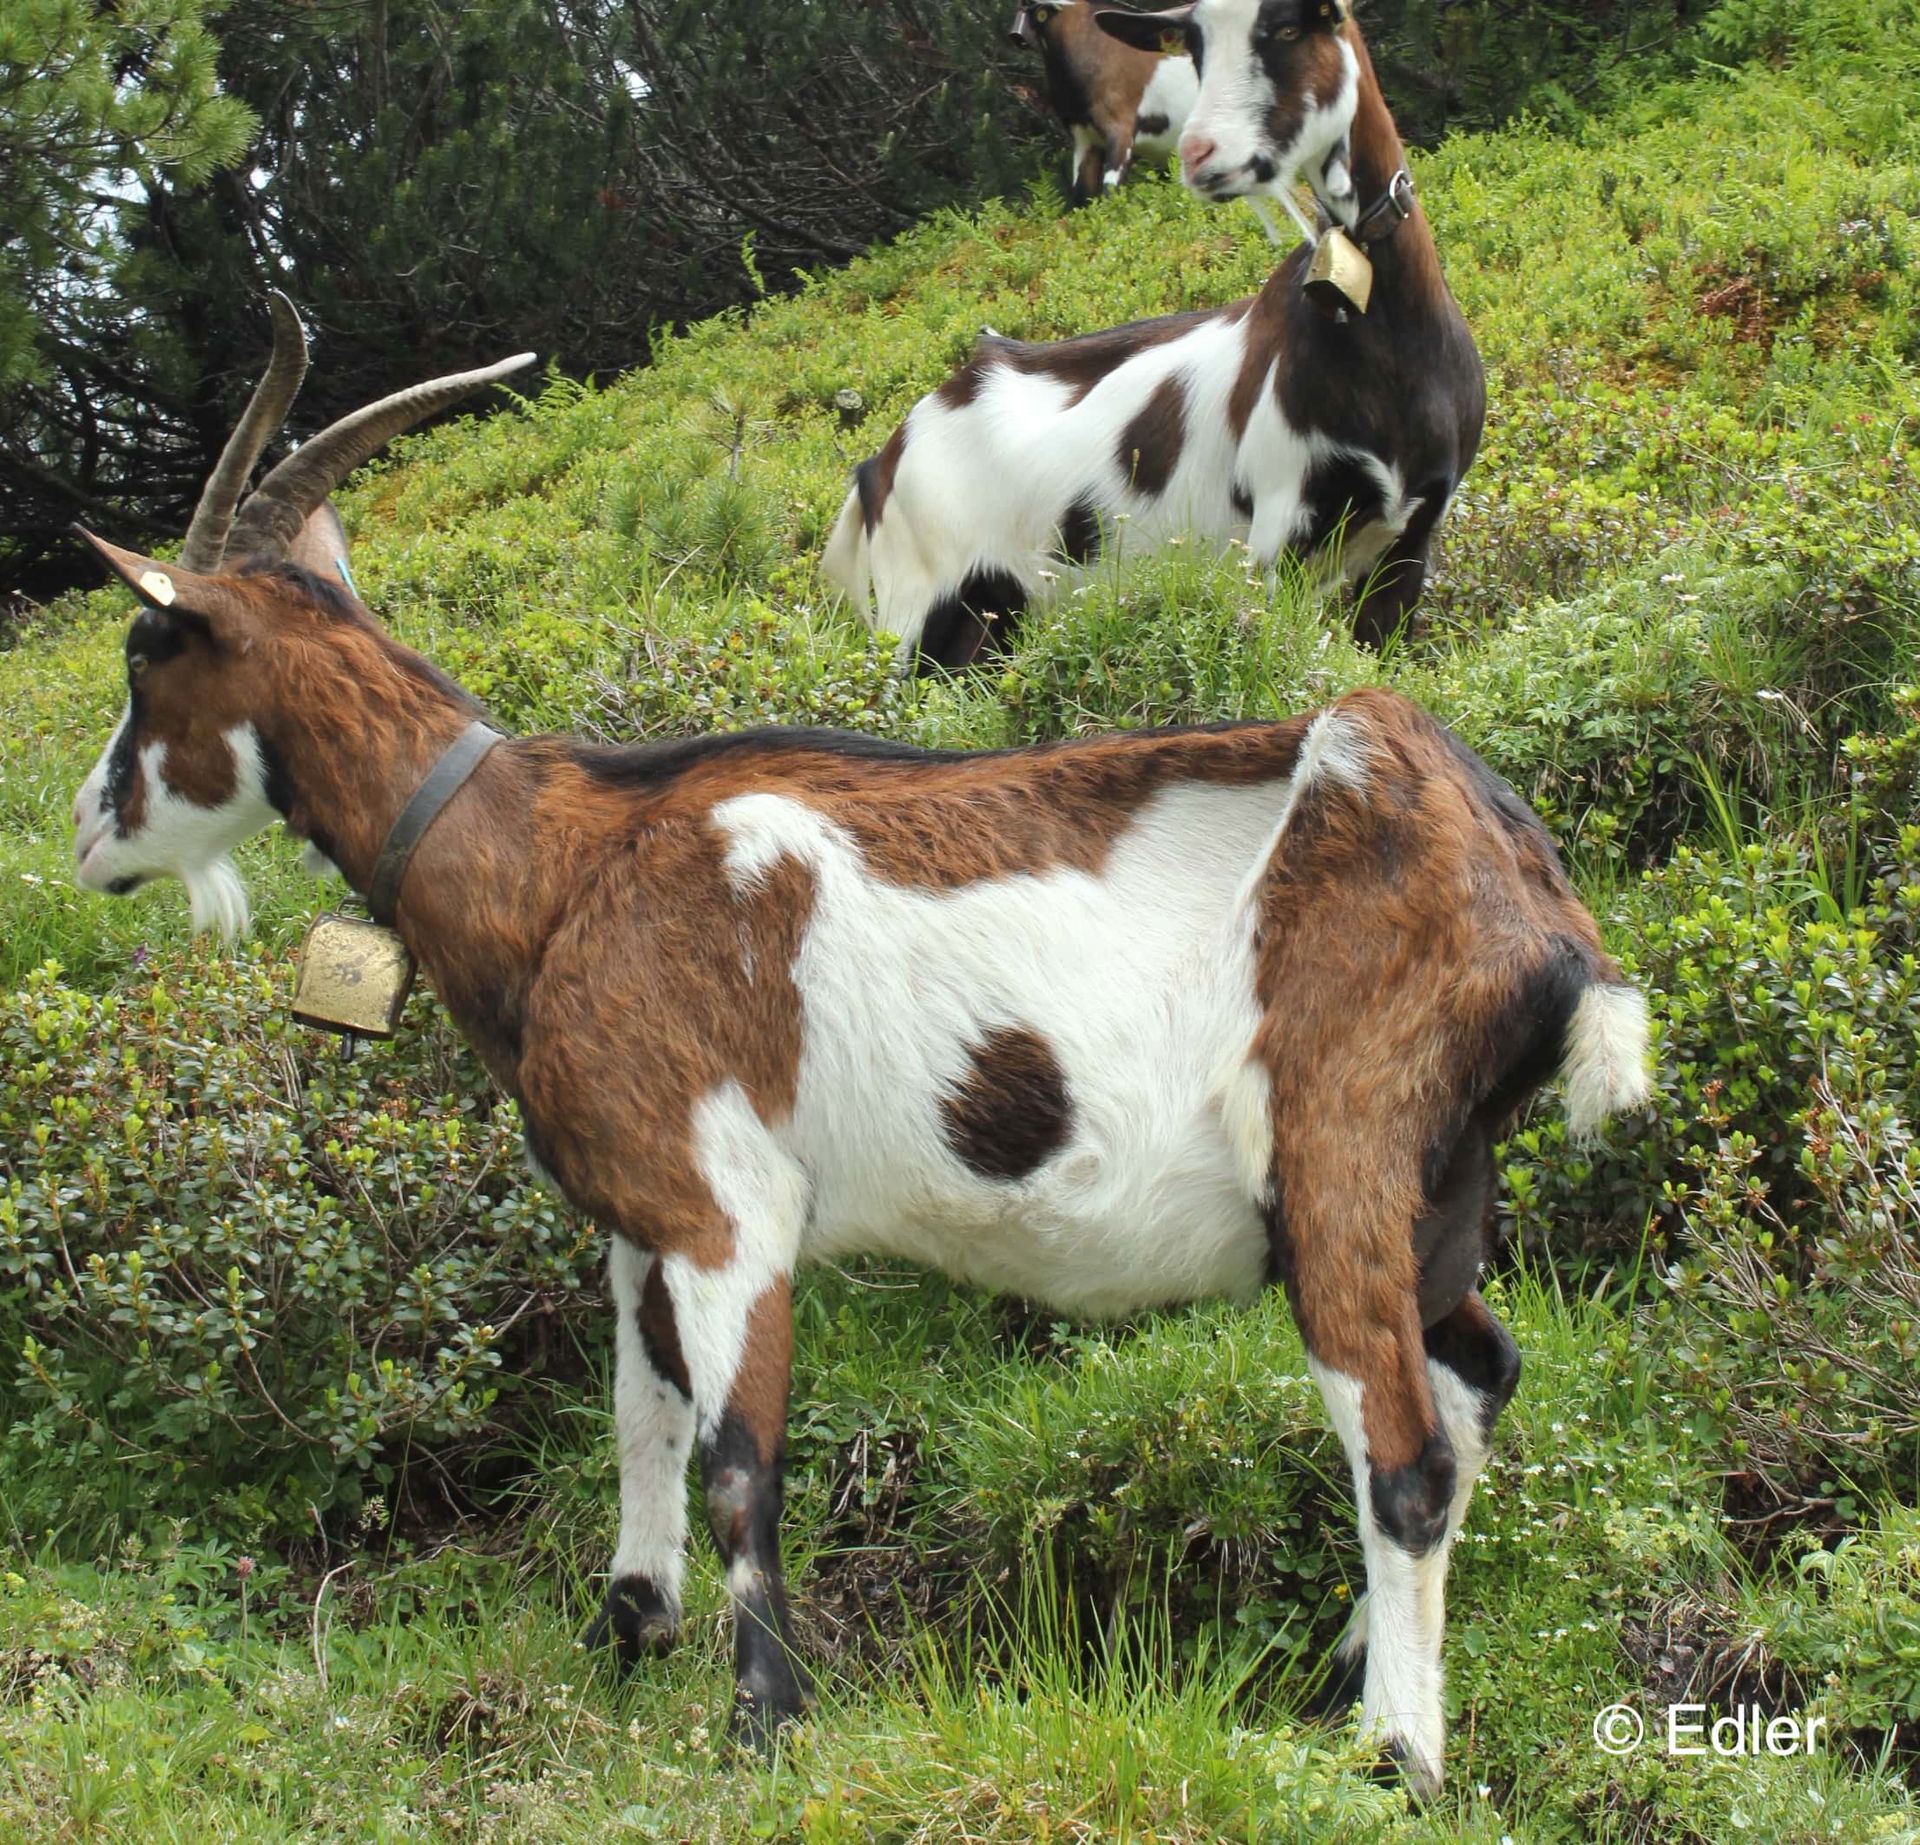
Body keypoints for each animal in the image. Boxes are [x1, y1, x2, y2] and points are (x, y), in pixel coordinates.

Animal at [67, 349, 1643, 1797]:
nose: (87, 834)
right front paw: (628, 1636)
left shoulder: (726, 1208)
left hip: (1342, 1158)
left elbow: (736, 1460)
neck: (564, 869)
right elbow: (640, 1423)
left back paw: (1398, 1750)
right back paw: (1339, 1678)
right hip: (1434, 1190)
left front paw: (764, 1719)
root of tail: (1533, 900)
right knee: (1475, 1381)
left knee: (1406, 1453)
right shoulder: (635, 1217)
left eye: (148, 654)